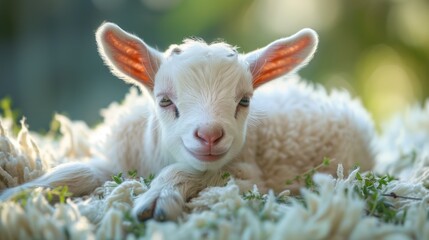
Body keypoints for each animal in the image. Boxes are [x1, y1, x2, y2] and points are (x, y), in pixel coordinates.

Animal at [0, 22, 374, 221]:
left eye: (244, 101)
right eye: (165, 100)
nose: (209, 135)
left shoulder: (249, 174)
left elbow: (198, 172)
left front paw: (159, 198)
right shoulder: (119, 161)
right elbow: (77, 171)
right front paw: (20, 196)